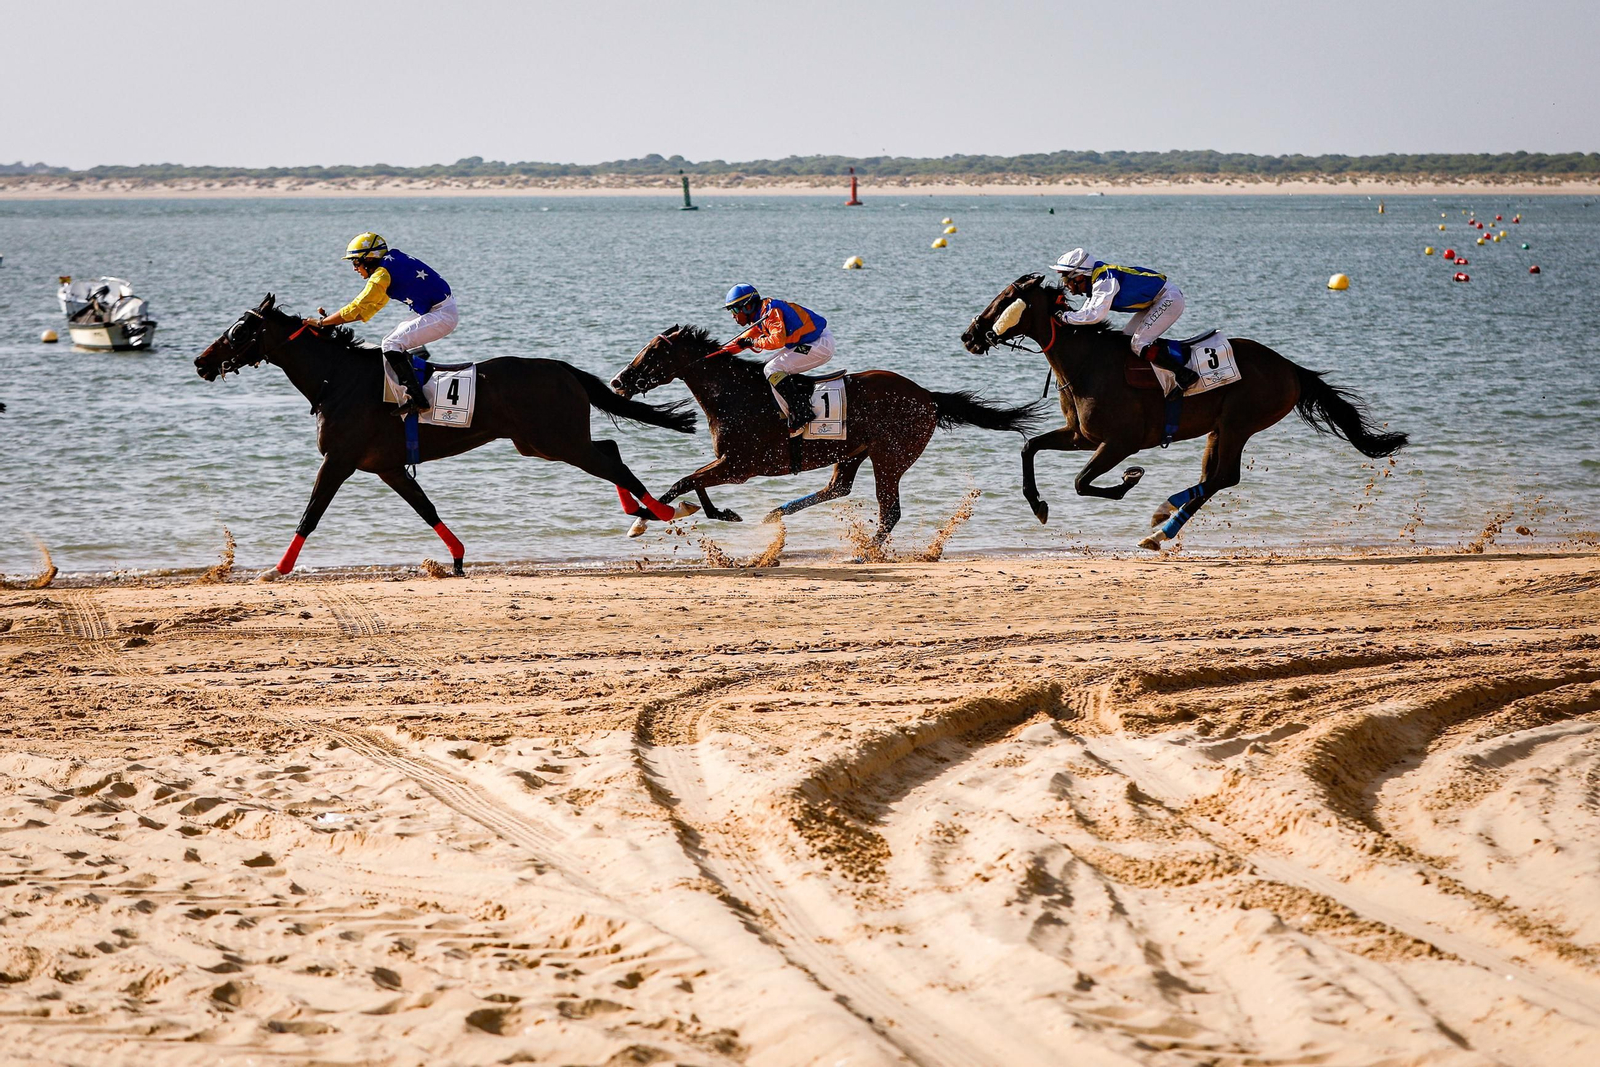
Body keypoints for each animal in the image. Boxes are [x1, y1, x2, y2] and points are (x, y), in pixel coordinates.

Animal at [194, 295, 697, 579]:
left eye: (239, 330)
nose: (200, 362)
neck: (338, 379)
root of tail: (562, 369)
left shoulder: (338, 460)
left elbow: (311, 514)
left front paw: (276, 569)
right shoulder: (387, 466)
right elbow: (425, 507)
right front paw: (455, 557)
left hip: (556, 441)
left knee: (610, 459)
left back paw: (663, 510)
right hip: (542, 443)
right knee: (609, 451)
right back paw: (643, 511)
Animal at [609, 325, 1042, 547]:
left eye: (652, 354)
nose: (618, 381)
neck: (735, 394)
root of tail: (928, 396)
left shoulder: (741, 466)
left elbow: (684, 481)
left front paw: (643, 520)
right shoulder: (731, 464)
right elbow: (693, 482)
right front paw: (721, 513)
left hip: (890, 456)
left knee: (889, 510)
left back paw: (864, 552)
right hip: (853, 452)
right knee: (838, 489)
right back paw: (777, 513)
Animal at [962, 274, 1408, 549]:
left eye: (1004, 300)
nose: (969, 336)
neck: (1087, 362)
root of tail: (1289, 367)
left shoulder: (1120, 442)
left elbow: (1081, 482)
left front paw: (1129, 480)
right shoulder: (1081, 436)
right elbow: (1029, 448)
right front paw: (1037, 505)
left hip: (1238, 423)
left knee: (1221, 478)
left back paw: (1163, 520)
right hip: (1220, 428)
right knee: (1215, 479)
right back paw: (1164, 521)